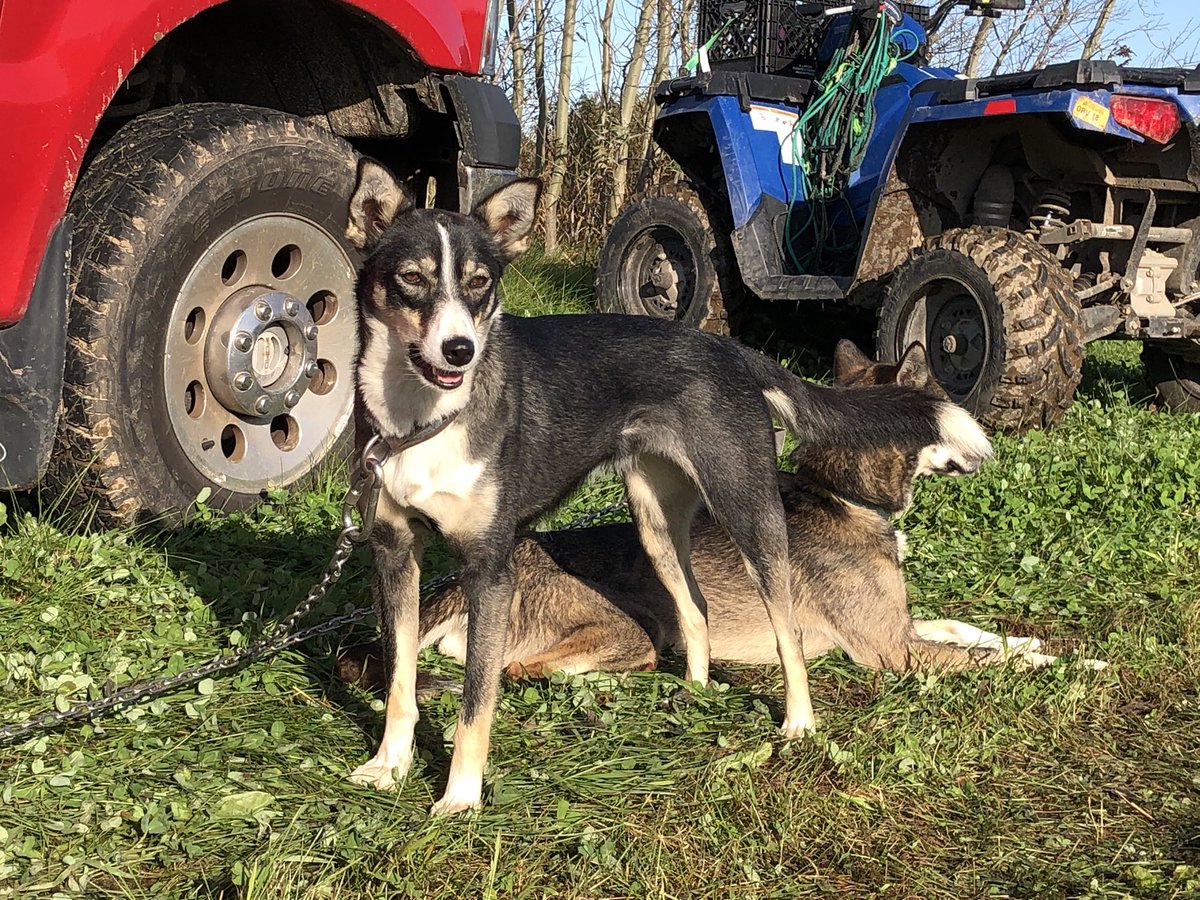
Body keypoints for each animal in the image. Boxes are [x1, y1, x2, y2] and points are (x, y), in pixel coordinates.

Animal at [340, 340, 1104, 696]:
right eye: (943, 401)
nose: (987, 448)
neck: (841, 494)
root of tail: (454, 587)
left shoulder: (900, 625)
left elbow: (971, 630)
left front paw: (1034, 642)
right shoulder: (891, 651)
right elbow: (983, 659)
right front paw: (1075, 663)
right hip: (630, 629)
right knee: (525, 671)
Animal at [343, 162, 988, 816]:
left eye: (478, 283)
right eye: (411, 279)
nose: (461, 351)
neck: (422, 419)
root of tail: (729, 347)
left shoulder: (491, 568)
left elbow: (477, 699)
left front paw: (461, 796)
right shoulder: (394, 554)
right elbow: (399, 680)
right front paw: (390, 765)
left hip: (748, 511)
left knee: (786, 631)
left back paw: (799, 724)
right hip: (657, 526)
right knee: (696, 611)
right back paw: (695, 691)